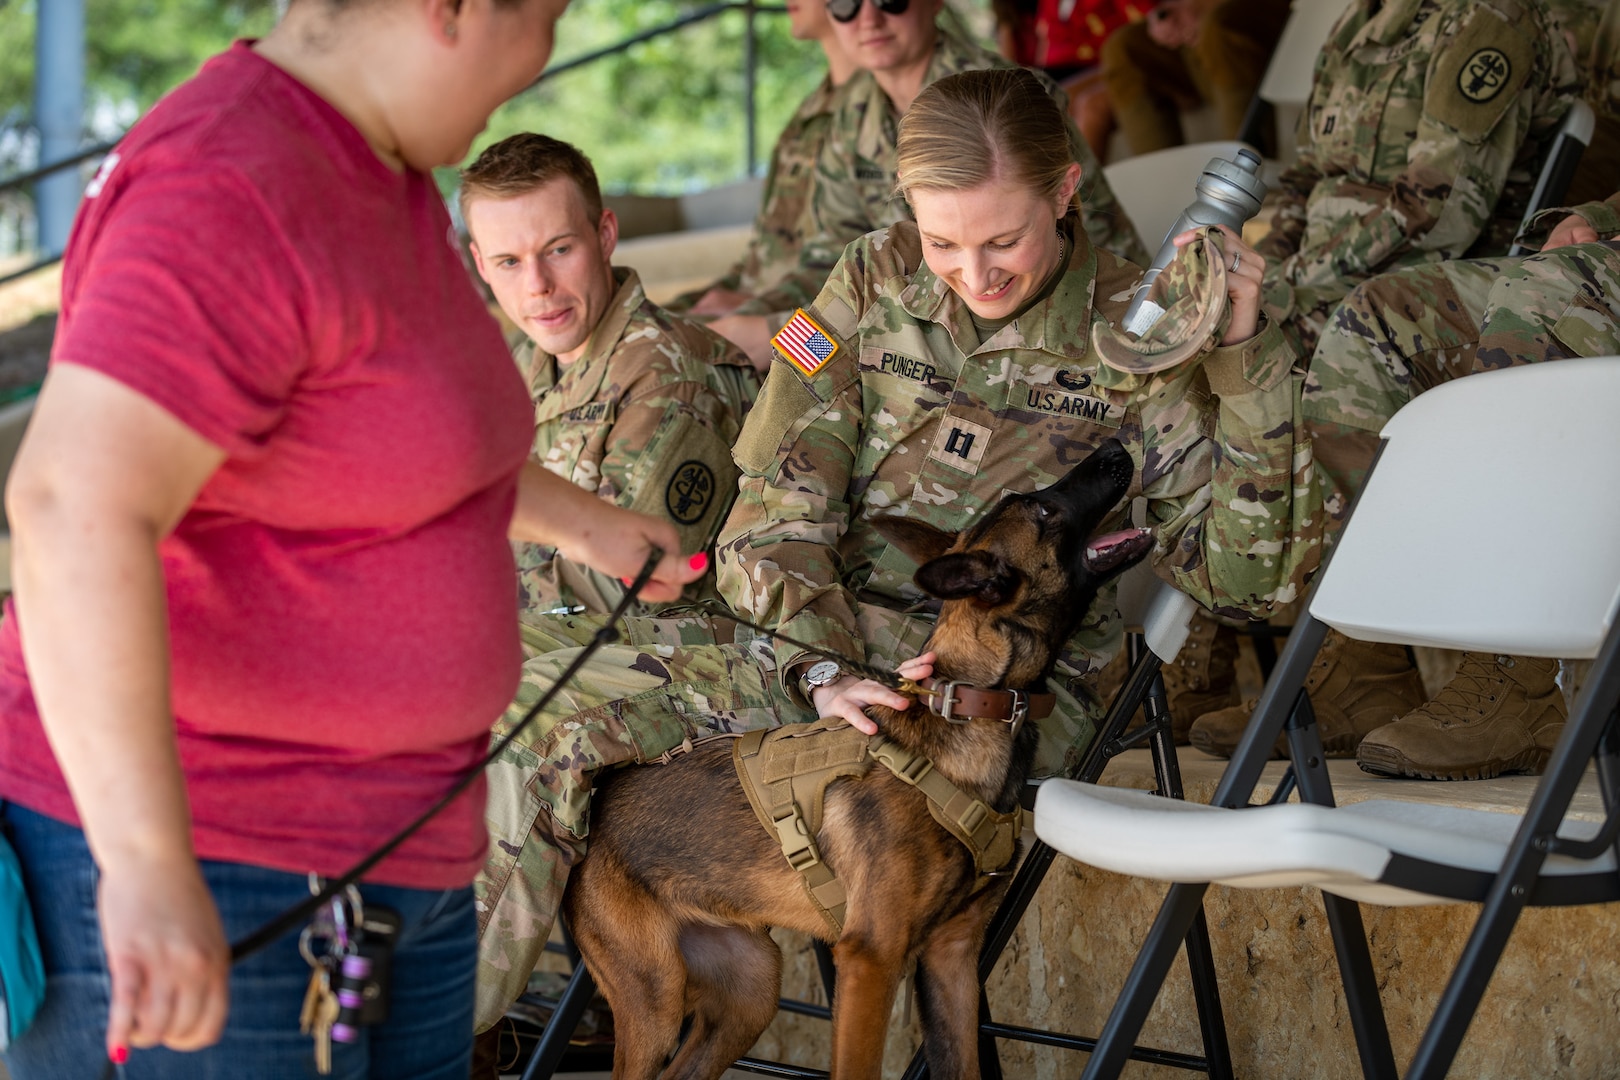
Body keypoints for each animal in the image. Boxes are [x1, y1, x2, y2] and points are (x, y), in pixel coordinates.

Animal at [563, 440, 1159, 1080]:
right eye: (1042, 510)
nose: (1117, 447)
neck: (969, 705)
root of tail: (590, 824)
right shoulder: (871, 960)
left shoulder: (952, 959)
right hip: (656, 1000)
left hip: (750, 988)